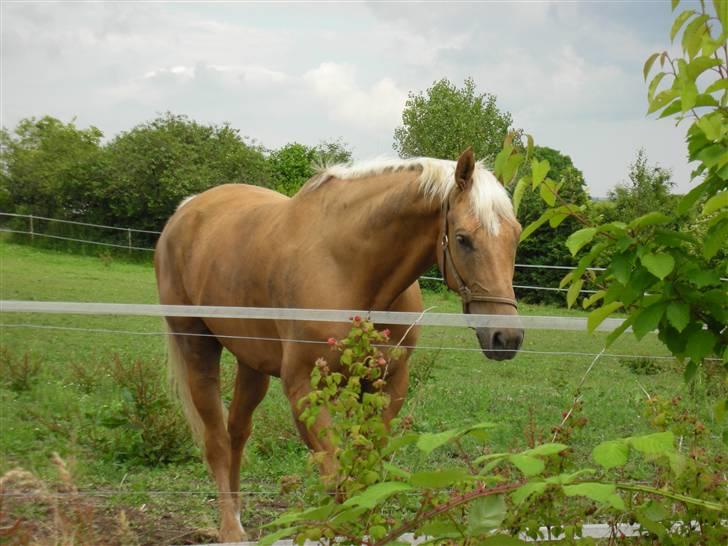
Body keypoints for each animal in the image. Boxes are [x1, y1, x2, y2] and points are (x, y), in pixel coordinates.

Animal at [155, 148, 524, 540]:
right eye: (463, 238)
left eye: (515, 235)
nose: (506, 337)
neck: (348, 267)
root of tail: (186, 210)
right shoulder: (304, 388)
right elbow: (337, 481)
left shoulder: (387, 385)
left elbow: (366, 473)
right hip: (197, 348)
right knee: (217, 442)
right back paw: (231, 530)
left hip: (251, 363)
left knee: (237, 432)